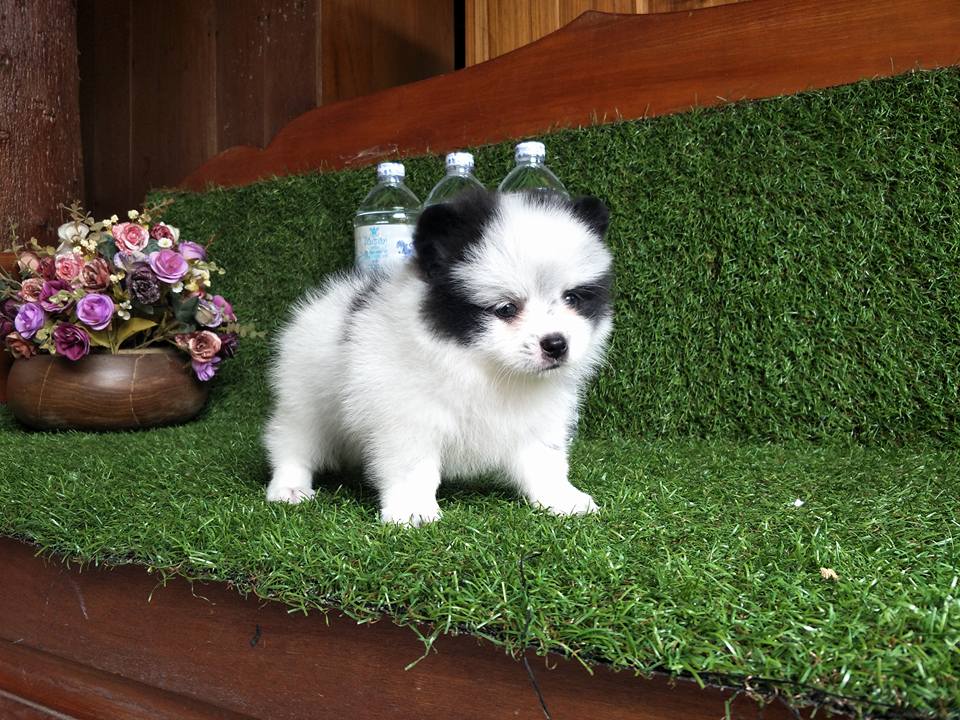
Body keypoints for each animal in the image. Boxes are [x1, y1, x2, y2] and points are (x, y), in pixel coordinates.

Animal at [264, 189, 613, 526]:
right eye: (506, 308)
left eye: (572, 298)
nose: (556, 344)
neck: (483, 367)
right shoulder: (407, 416)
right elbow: (413, 468)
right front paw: (412, 510)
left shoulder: (540, 418)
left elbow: (545, 461)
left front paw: (562, 498)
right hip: (306, 397)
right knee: (292, 442)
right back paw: (289, 486)